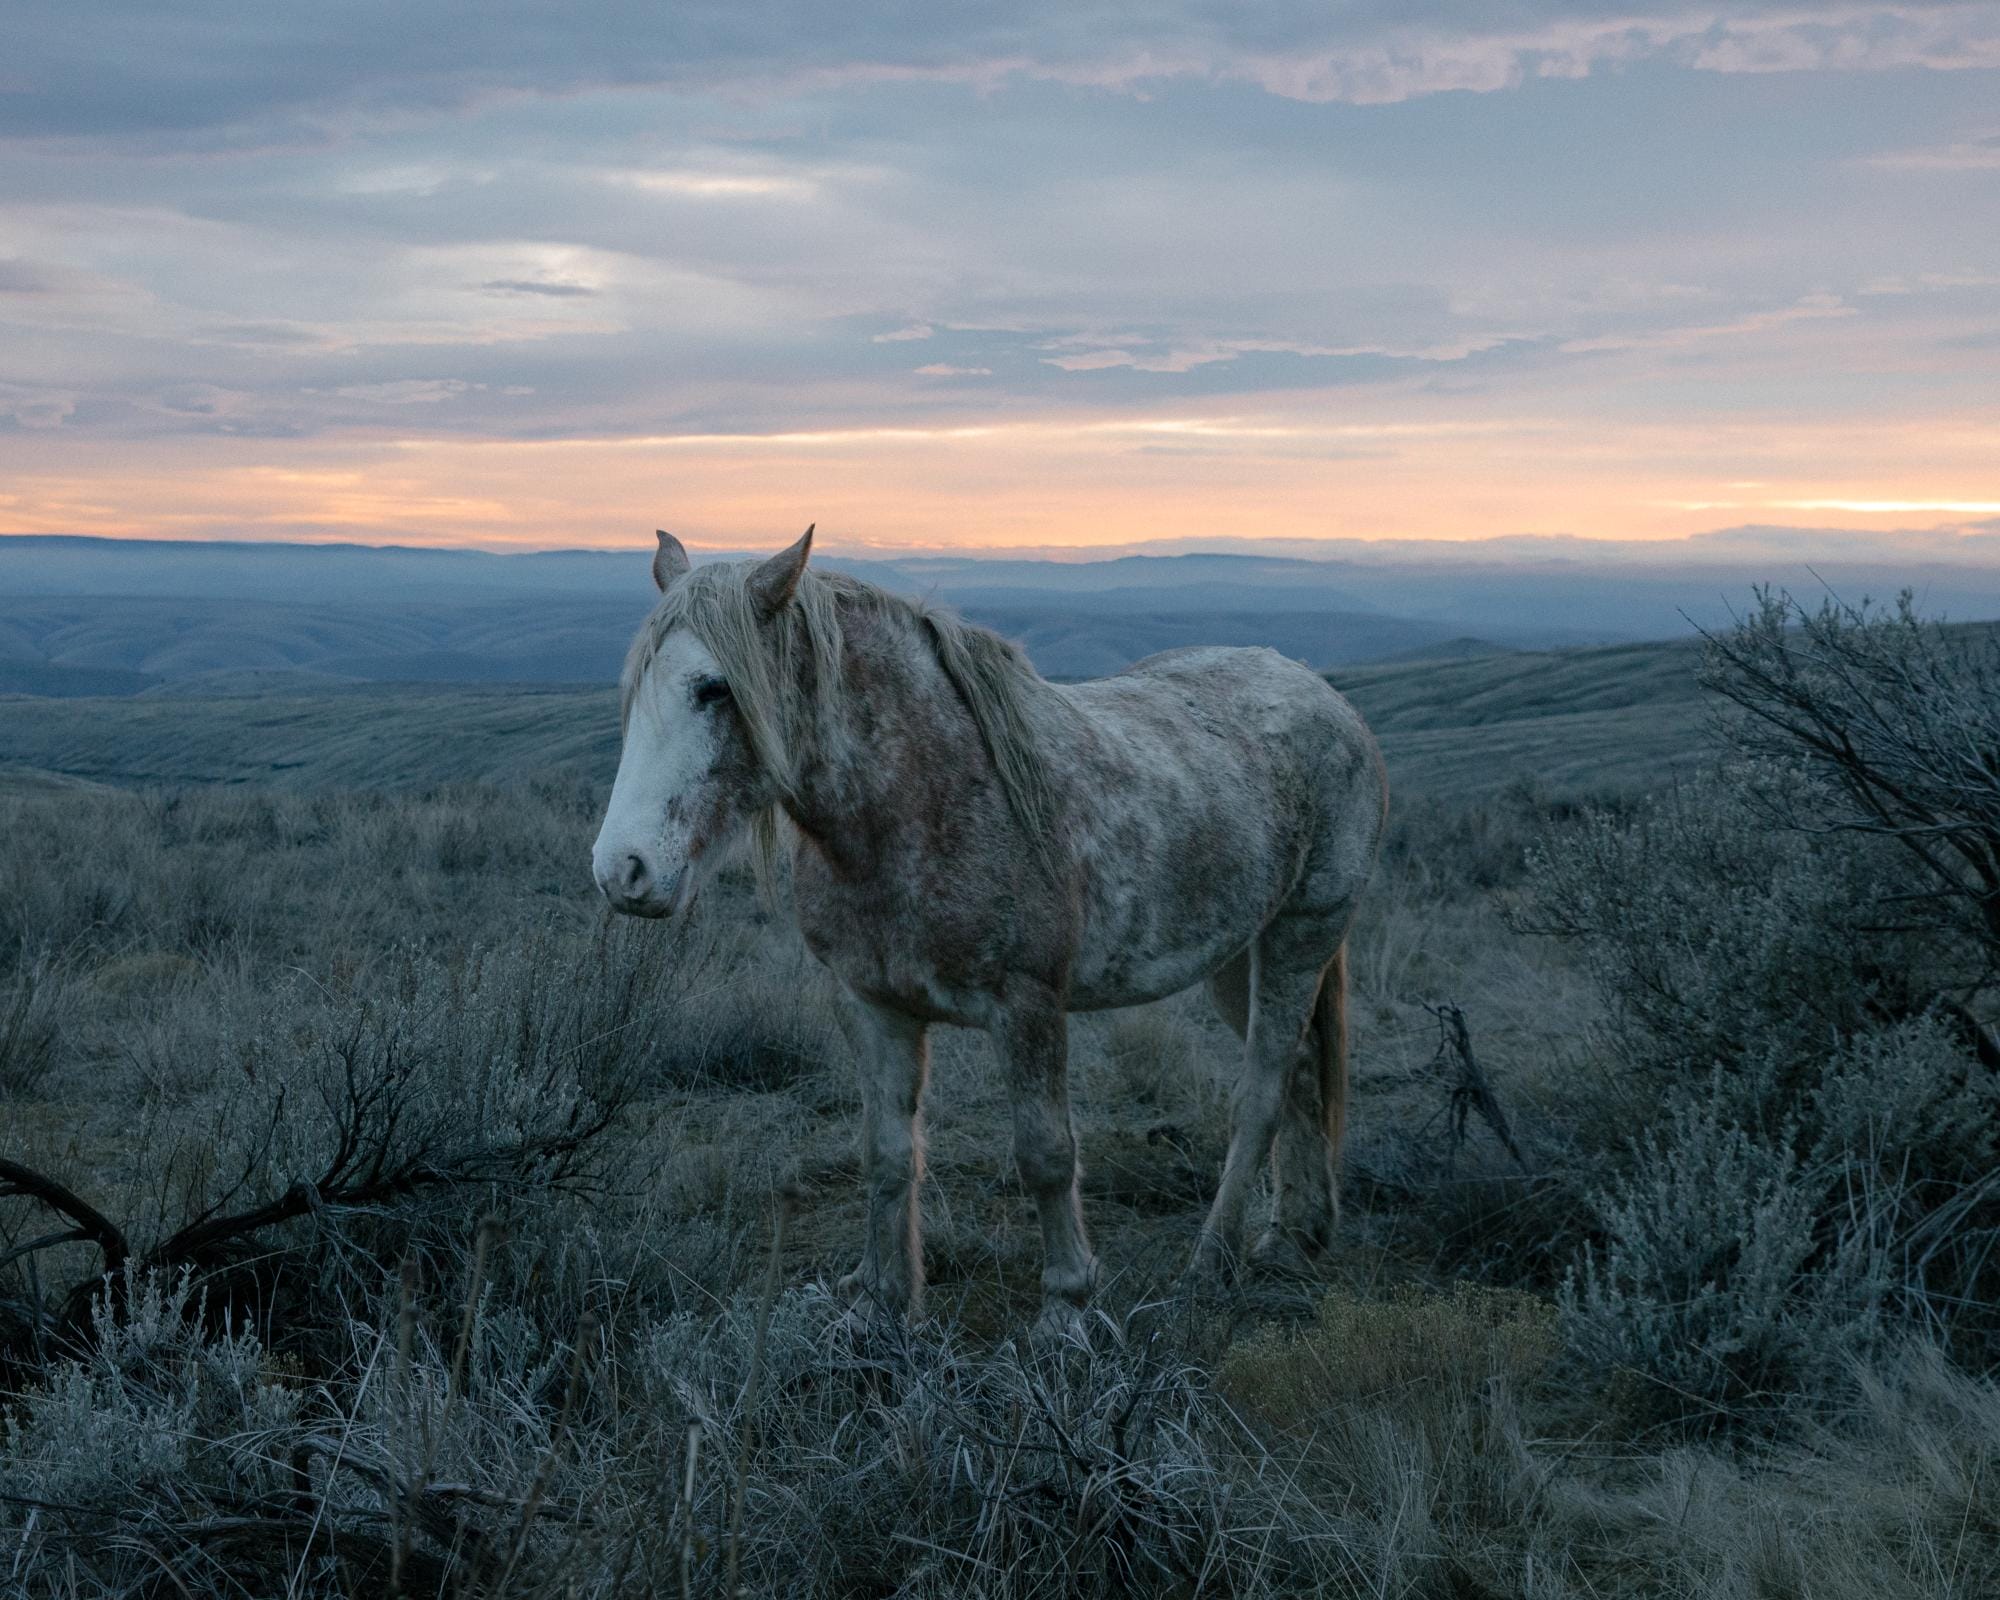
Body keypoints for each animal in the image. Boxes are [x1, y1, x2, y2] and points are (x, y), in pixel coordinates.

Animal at [592, 527, 1387, 1339]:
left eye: (714, 689)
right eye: (636, 690)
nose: (621, 869)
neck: (919, 802)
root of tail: (1324, 697)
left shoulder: (1027, 1006)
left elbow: (1045, 1153)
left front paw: (1066, 1309)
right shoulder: (871, 1003)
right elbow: (886, 1152)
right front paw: (879, 1301)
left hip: (1300, 937)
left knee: (1263, 1090)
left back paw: (1213, 1259)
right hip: (1234, 956)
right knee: (1300, 1072)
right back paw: (1293, 1237)